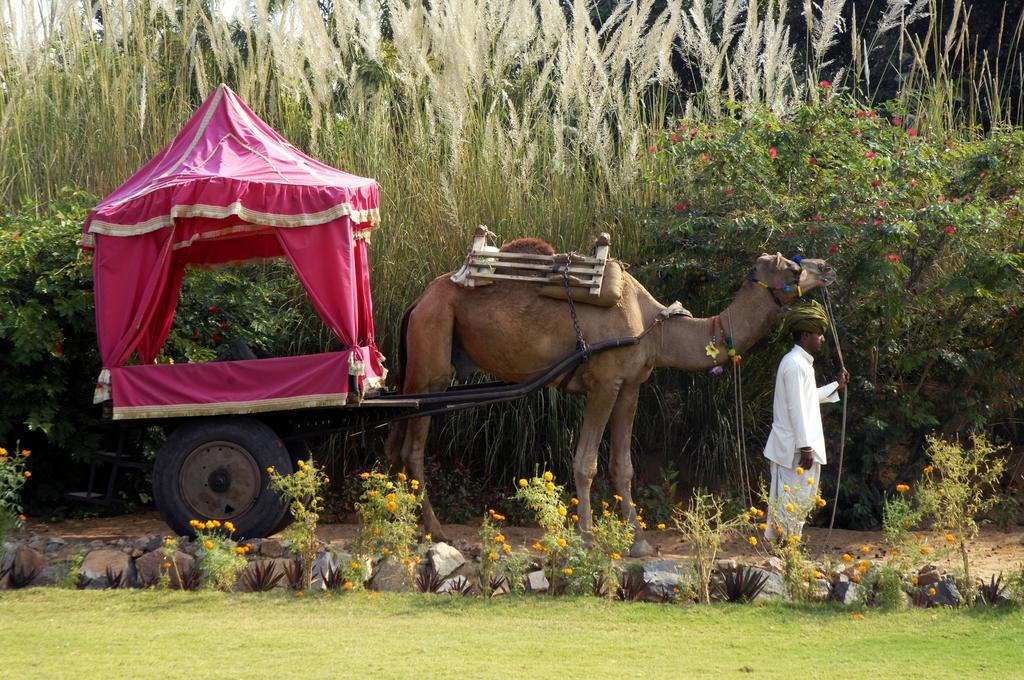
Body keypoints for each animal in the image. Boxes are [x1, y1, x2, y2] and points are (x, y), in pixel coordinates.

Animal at [385, 246, 831, 557]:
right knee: (413, 447)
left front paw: (638, 541)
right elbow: (586, 463)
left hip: (423, 360)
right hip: (432, 354)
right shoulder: (603, 381)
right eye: (793, 267)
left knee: (395, 440)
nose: (827, 267)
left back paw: (398, 518)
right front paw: (586, 537)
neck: (652, 328)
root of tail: (417, 301)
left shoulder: (630, 385)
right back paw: (434, 530)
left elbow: (624, 466)